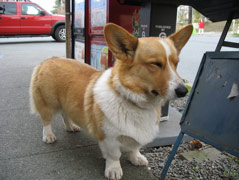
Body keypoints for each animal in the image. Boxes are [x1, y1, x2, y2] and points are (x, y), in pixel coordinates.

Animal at [29, 23, 192, 179]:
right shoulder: (109, 138)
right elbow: (114, 156)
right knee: (46, 121)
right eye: (155, 64)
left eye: (176, 63)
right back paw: (48, 136)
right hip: (48, 103)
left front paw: (136, 158)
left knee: (65, 114)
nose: (184, 91)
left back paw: (71, 126)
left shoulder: (136, 137)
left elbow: (134, 148)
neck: (135, 102)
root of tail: (49, 60)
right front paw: (114, 170)